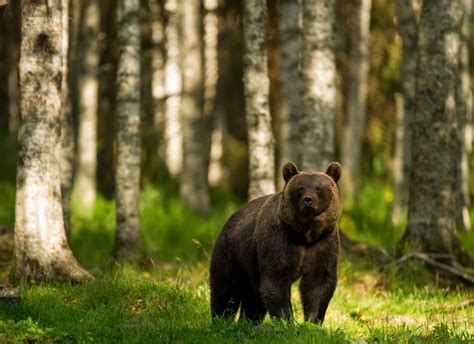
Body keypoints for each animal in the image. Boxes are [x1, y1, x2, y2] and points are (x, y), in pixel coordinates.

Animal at [210, 161, 340, 322]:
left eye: (318, 188)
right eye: (300, 188)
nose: (308, 200)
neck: (305, 234)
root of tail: (231, 216)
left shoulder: (324, 243)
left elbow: (318, 283)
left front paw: (312, 320)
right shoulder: (278, 238)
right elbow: (276, 279)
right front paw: (286, 320)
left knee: (253, 298)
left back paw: (248, 321)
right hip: (232, 253)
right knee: (227, 288)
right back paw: (221, 318)